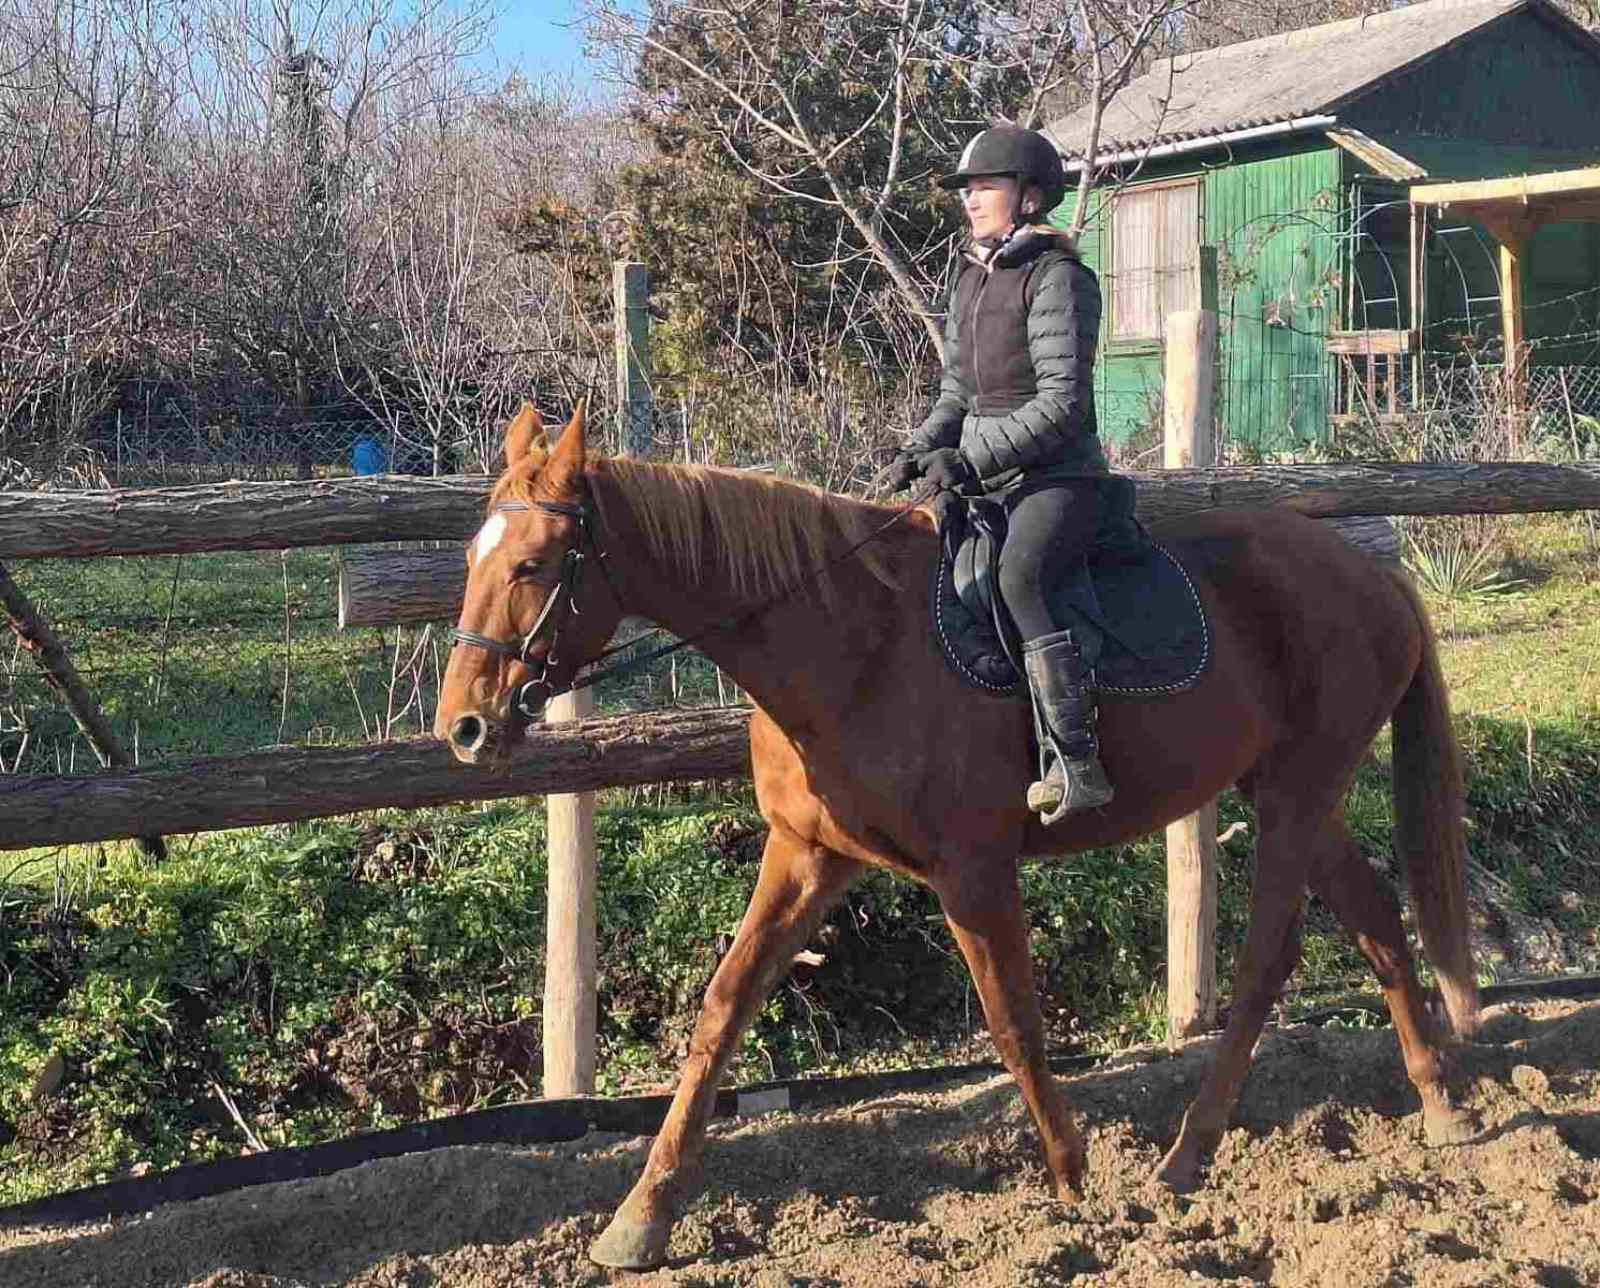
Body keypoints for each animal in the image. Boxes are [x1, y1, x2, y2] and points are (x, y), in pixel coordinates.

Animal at [434, 402, 1481, 1271]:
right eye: (475, 559)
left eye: (532, 565)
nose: (465, 728)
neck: (847, 643)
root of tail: (1373, 573)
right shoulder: (806, 857)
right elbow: (722, 1011)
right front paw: (638, 1220)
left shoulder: (972, 871)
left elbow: (1013, 1020)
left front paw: (1072, 1181)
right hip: (1296, 792)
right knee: (1376, 918)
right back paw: (1439, 1104)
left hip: (1296, 794)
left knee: (1271, 957)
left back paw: (1188, 1153)